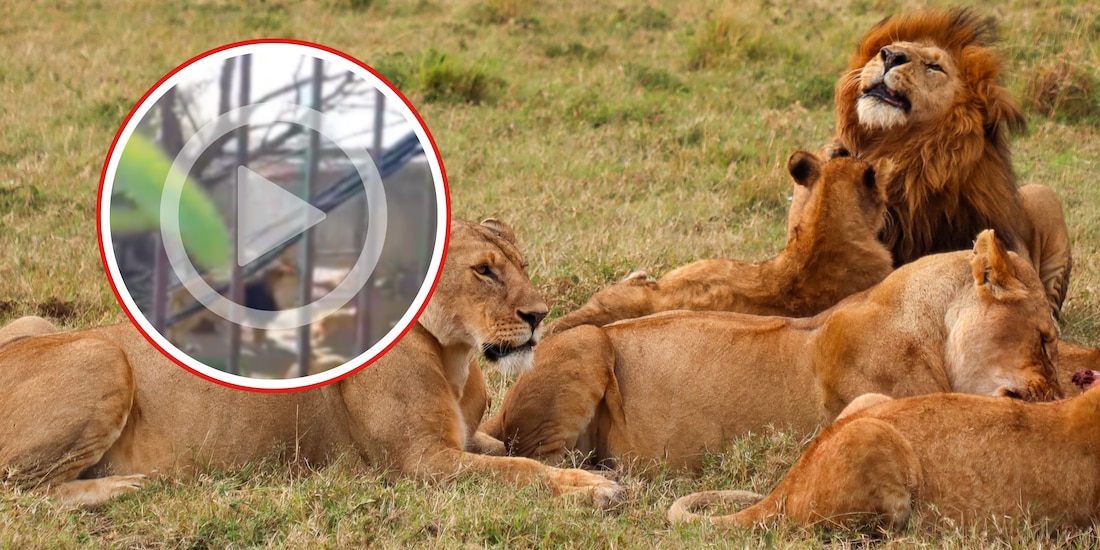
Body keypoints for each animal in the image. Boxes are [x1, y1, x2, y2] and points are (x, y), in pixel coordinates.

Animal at [0, 219, 622, 507]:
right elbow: (516, 470)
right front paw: (592, 487)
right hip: (101, 353)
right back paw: (122, 487)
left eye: (521, 265)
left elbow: (509, 451)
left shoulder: (460, 441)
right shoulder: (420, 464)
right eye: (485, 271)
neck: (455, 358)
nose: (540, 315)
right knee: (22, 491)